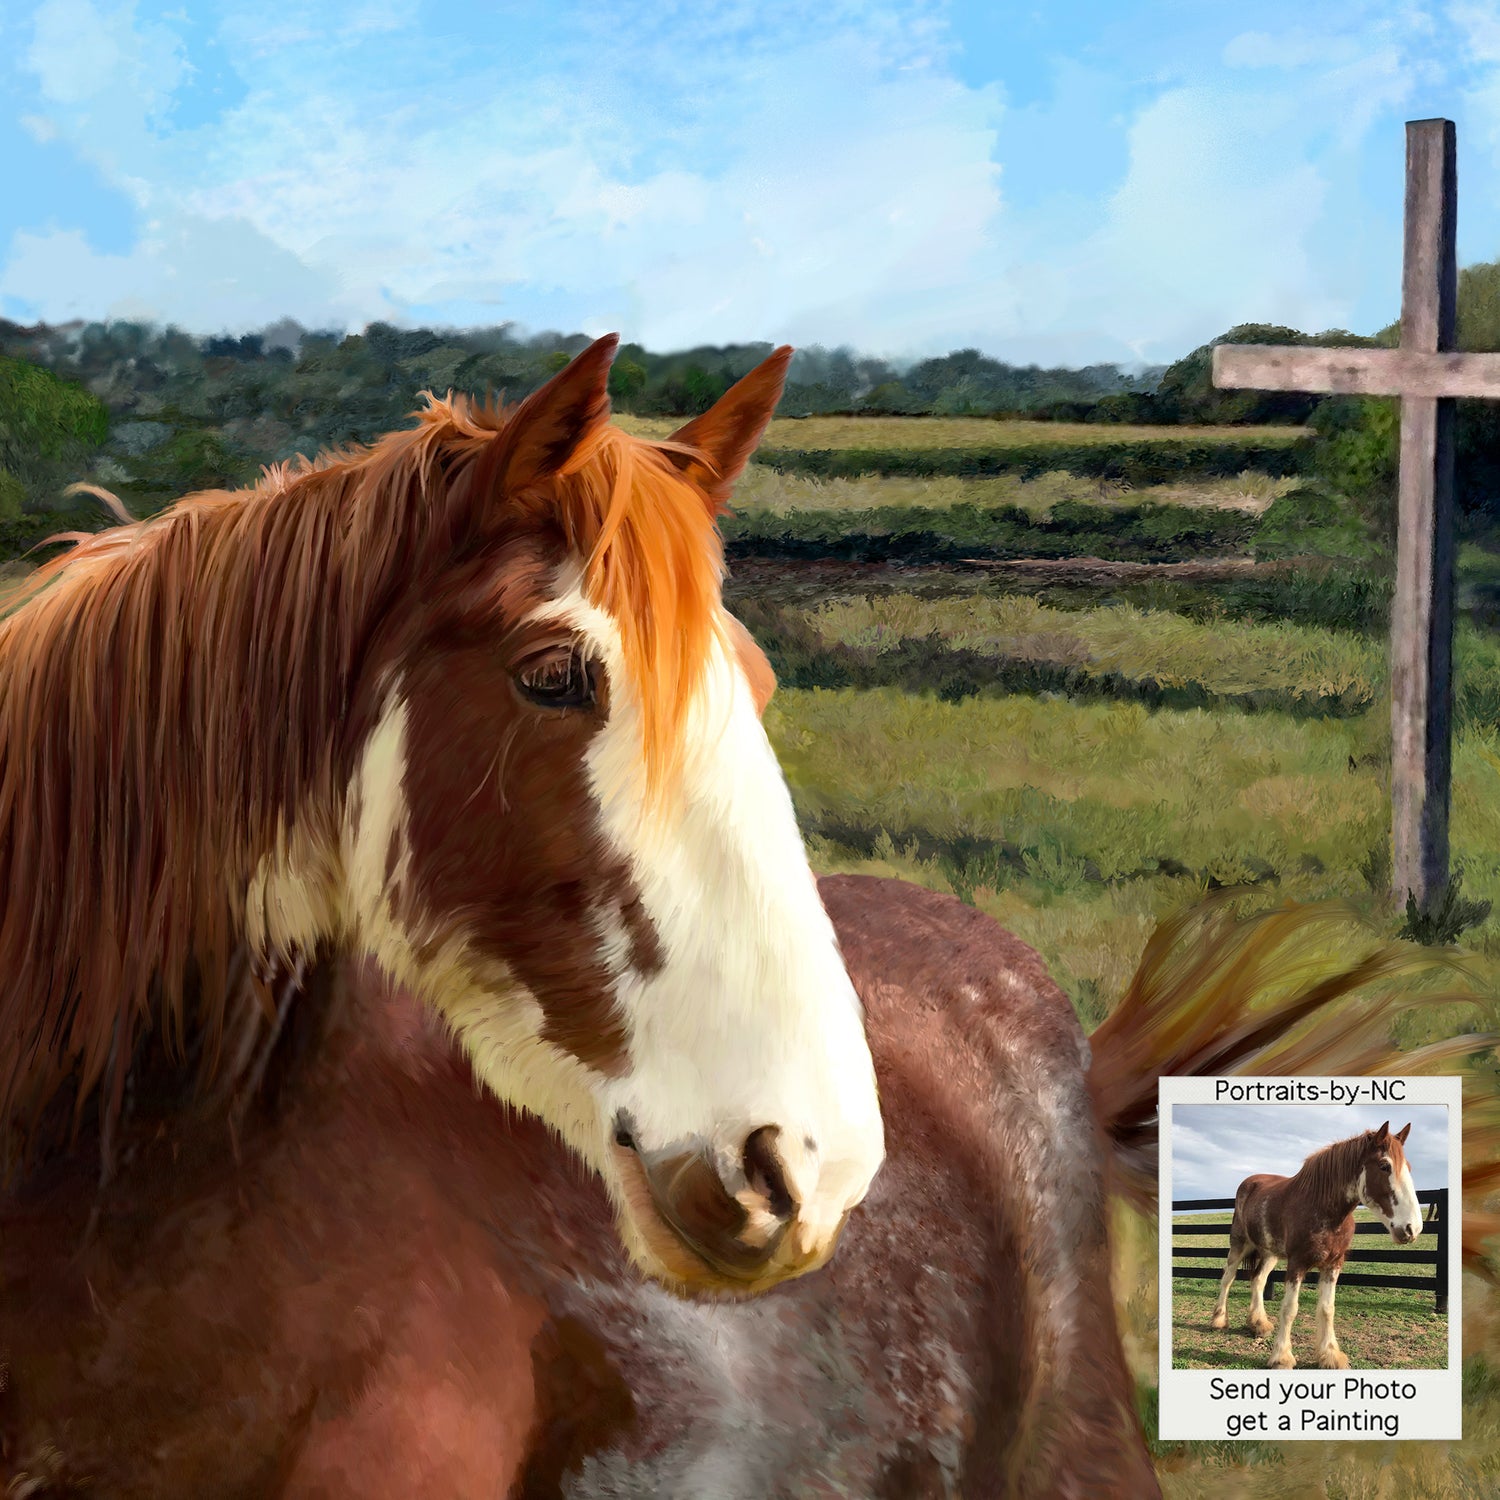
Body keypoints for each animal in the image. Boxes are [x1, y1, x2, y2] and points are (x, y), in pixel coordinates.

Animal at [1209, 1122, 1423, 1371]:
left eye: (1408, 1167)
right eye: (1384, 1166)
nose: (1412, 1228)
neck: (1322, 1208)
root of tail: (1249, 1183)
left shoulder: (1333, 1265)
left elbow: (1327, 1308)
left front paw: (1330, 1355)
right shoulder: (1297, 1264)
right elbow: (1290, 1309)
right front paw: (1281, 1357)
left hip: (1270, 1253)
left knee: (1258, 1280)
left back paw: (1259, 1323)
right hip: (1239, 1243)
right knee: (1228, 1277)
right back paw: (1219, 1320)